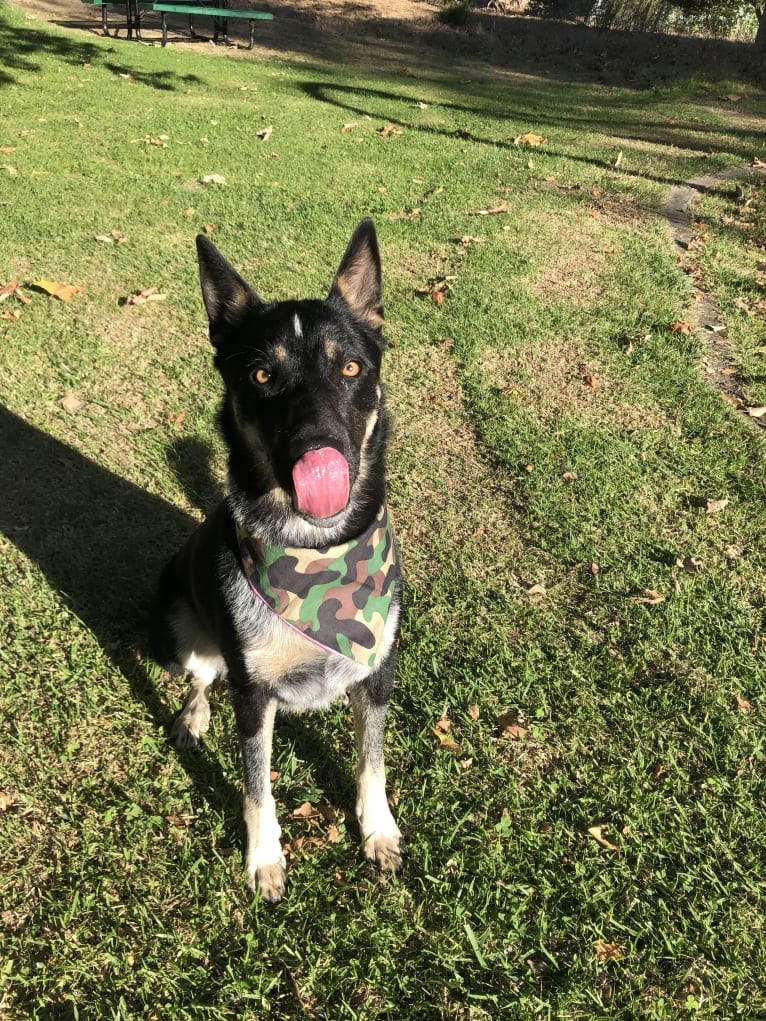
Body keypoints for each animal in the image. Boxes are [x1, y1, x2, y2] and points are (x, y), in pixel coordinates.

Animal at [147, 221, 404, 902]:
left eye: (351, 367)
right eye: (263, 375)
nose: (320, 449)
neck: (315, 551)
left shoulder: (378, 672)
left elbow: (372, 762)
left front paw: (378, 829)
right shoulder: (254, 693)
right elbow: (257, 786)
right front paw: (264, 857)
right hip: (182, 624)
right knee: (200, 675)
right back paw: (192, 717)